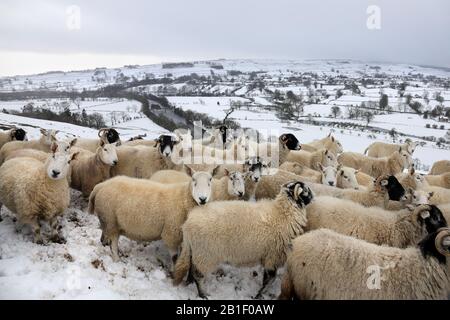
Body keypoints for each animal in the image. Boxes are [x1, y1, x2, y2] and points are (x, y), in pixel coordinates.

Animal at [172, 181, 312, 298]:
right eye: (306, 190)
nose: (313, 195)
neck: (283, 214)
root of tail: (187, 224)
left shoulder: (270, 256)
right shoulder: (273, 256)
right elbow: (269, 279)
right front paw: (259, 295)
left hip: (196, 252)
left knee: (191, 266)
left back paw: (190, 282)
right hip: (206, 254)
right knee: (199, 275)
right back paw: (203, 294)